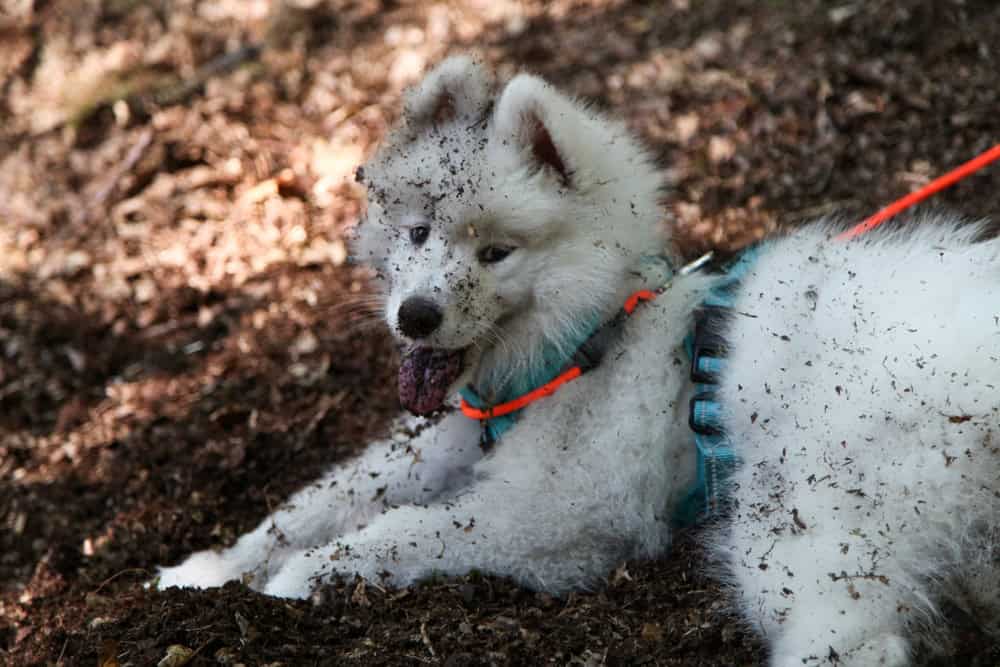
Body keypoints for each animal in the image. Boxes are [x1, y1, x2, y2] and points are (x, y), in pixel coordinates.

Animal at [158, 58, 1000, 667]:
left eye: (497, 252)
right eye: (420, 233)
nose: (416, 316)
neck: (591, 341)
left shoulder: (560, 513)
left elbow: (403, 528)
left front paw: (301, 579)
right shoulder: (452, 436)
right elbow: (321, 499)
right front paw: (207, 569)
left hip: (800, 517)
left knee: (859, 639)